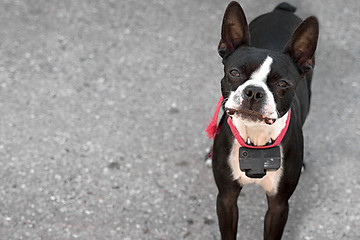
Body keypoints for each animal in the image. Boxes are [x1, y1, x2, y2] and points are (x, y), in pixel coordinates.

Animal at [205, 1, 318, 240]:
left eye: (283, 83)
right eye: (234, 72)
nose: (254, 92)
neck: (255, 137)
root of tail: (281, 10)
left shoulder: (279, 205)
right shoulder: (226, 198)